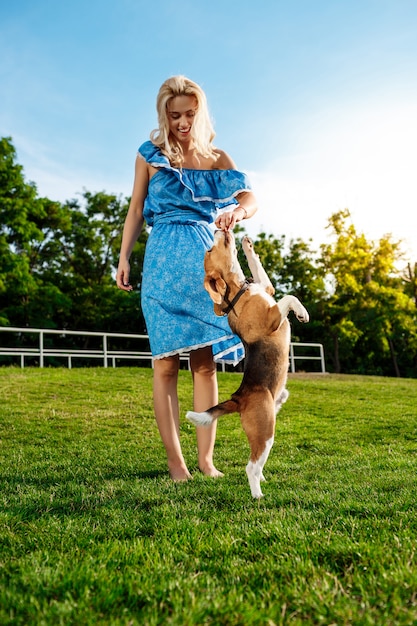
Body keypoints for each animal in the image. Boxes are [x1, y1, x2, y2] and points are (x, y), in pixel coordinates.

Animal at [187, 230, 308, 498]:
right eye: (209, 250)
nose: (219, 228)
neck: (239, 291)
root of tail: (238, 398)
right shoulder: (271, 318)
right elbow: (289, 297)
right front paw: (302, 312)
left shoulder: (267, 288)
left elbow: (259, 269)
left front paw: (248, 244)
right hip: (266, 430)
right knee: (250, 467)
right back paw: (258, 495)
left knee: (257, 464)